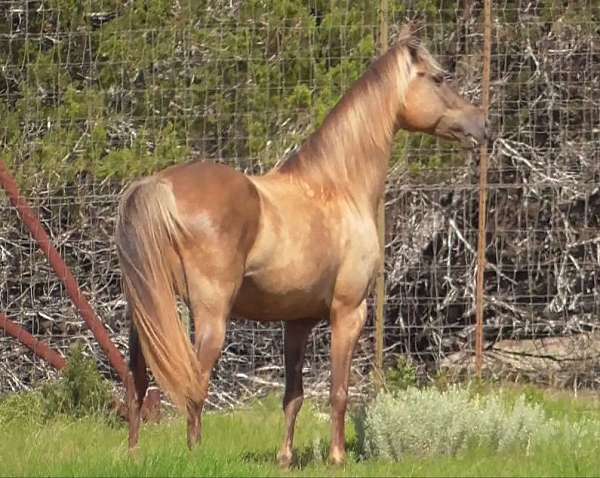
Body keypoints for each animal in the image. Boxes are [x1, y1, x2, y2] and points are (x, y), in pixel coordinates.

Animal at [117, 25, 488, 466]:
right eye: (437, 78)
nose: (483, 124)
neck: (338, 186)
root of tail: (157, 185)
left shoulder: (297, 322)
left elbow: (293, 396)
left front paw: (285, 458)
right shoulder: (349, 312)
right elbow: (338, 392)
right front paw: (338, 457)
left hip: (146, 313)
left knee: (136, 380)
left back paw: (134, 454)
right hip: (209, 316)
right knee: (194, 382)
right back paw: (195, 455)